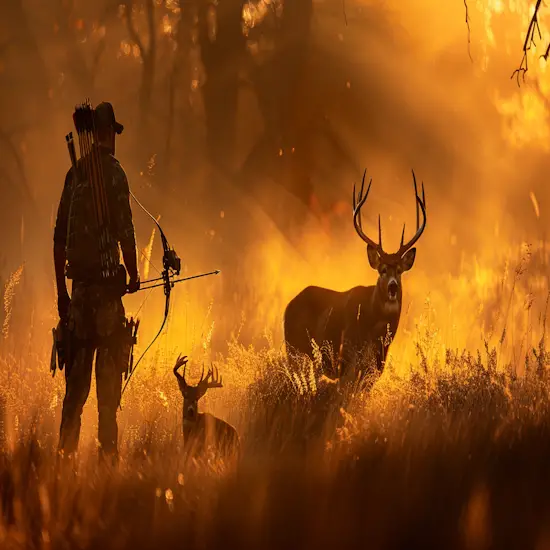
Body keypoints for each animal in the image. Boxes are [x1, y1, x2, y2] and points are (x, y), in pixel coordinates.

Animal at [286, 170, 430, 382]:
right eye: (382, 270)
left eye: (399, 271)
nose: (393, 286)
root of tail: (287, 307)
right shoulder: (346, 358)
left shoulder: (377, 367)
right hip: (295, 351)